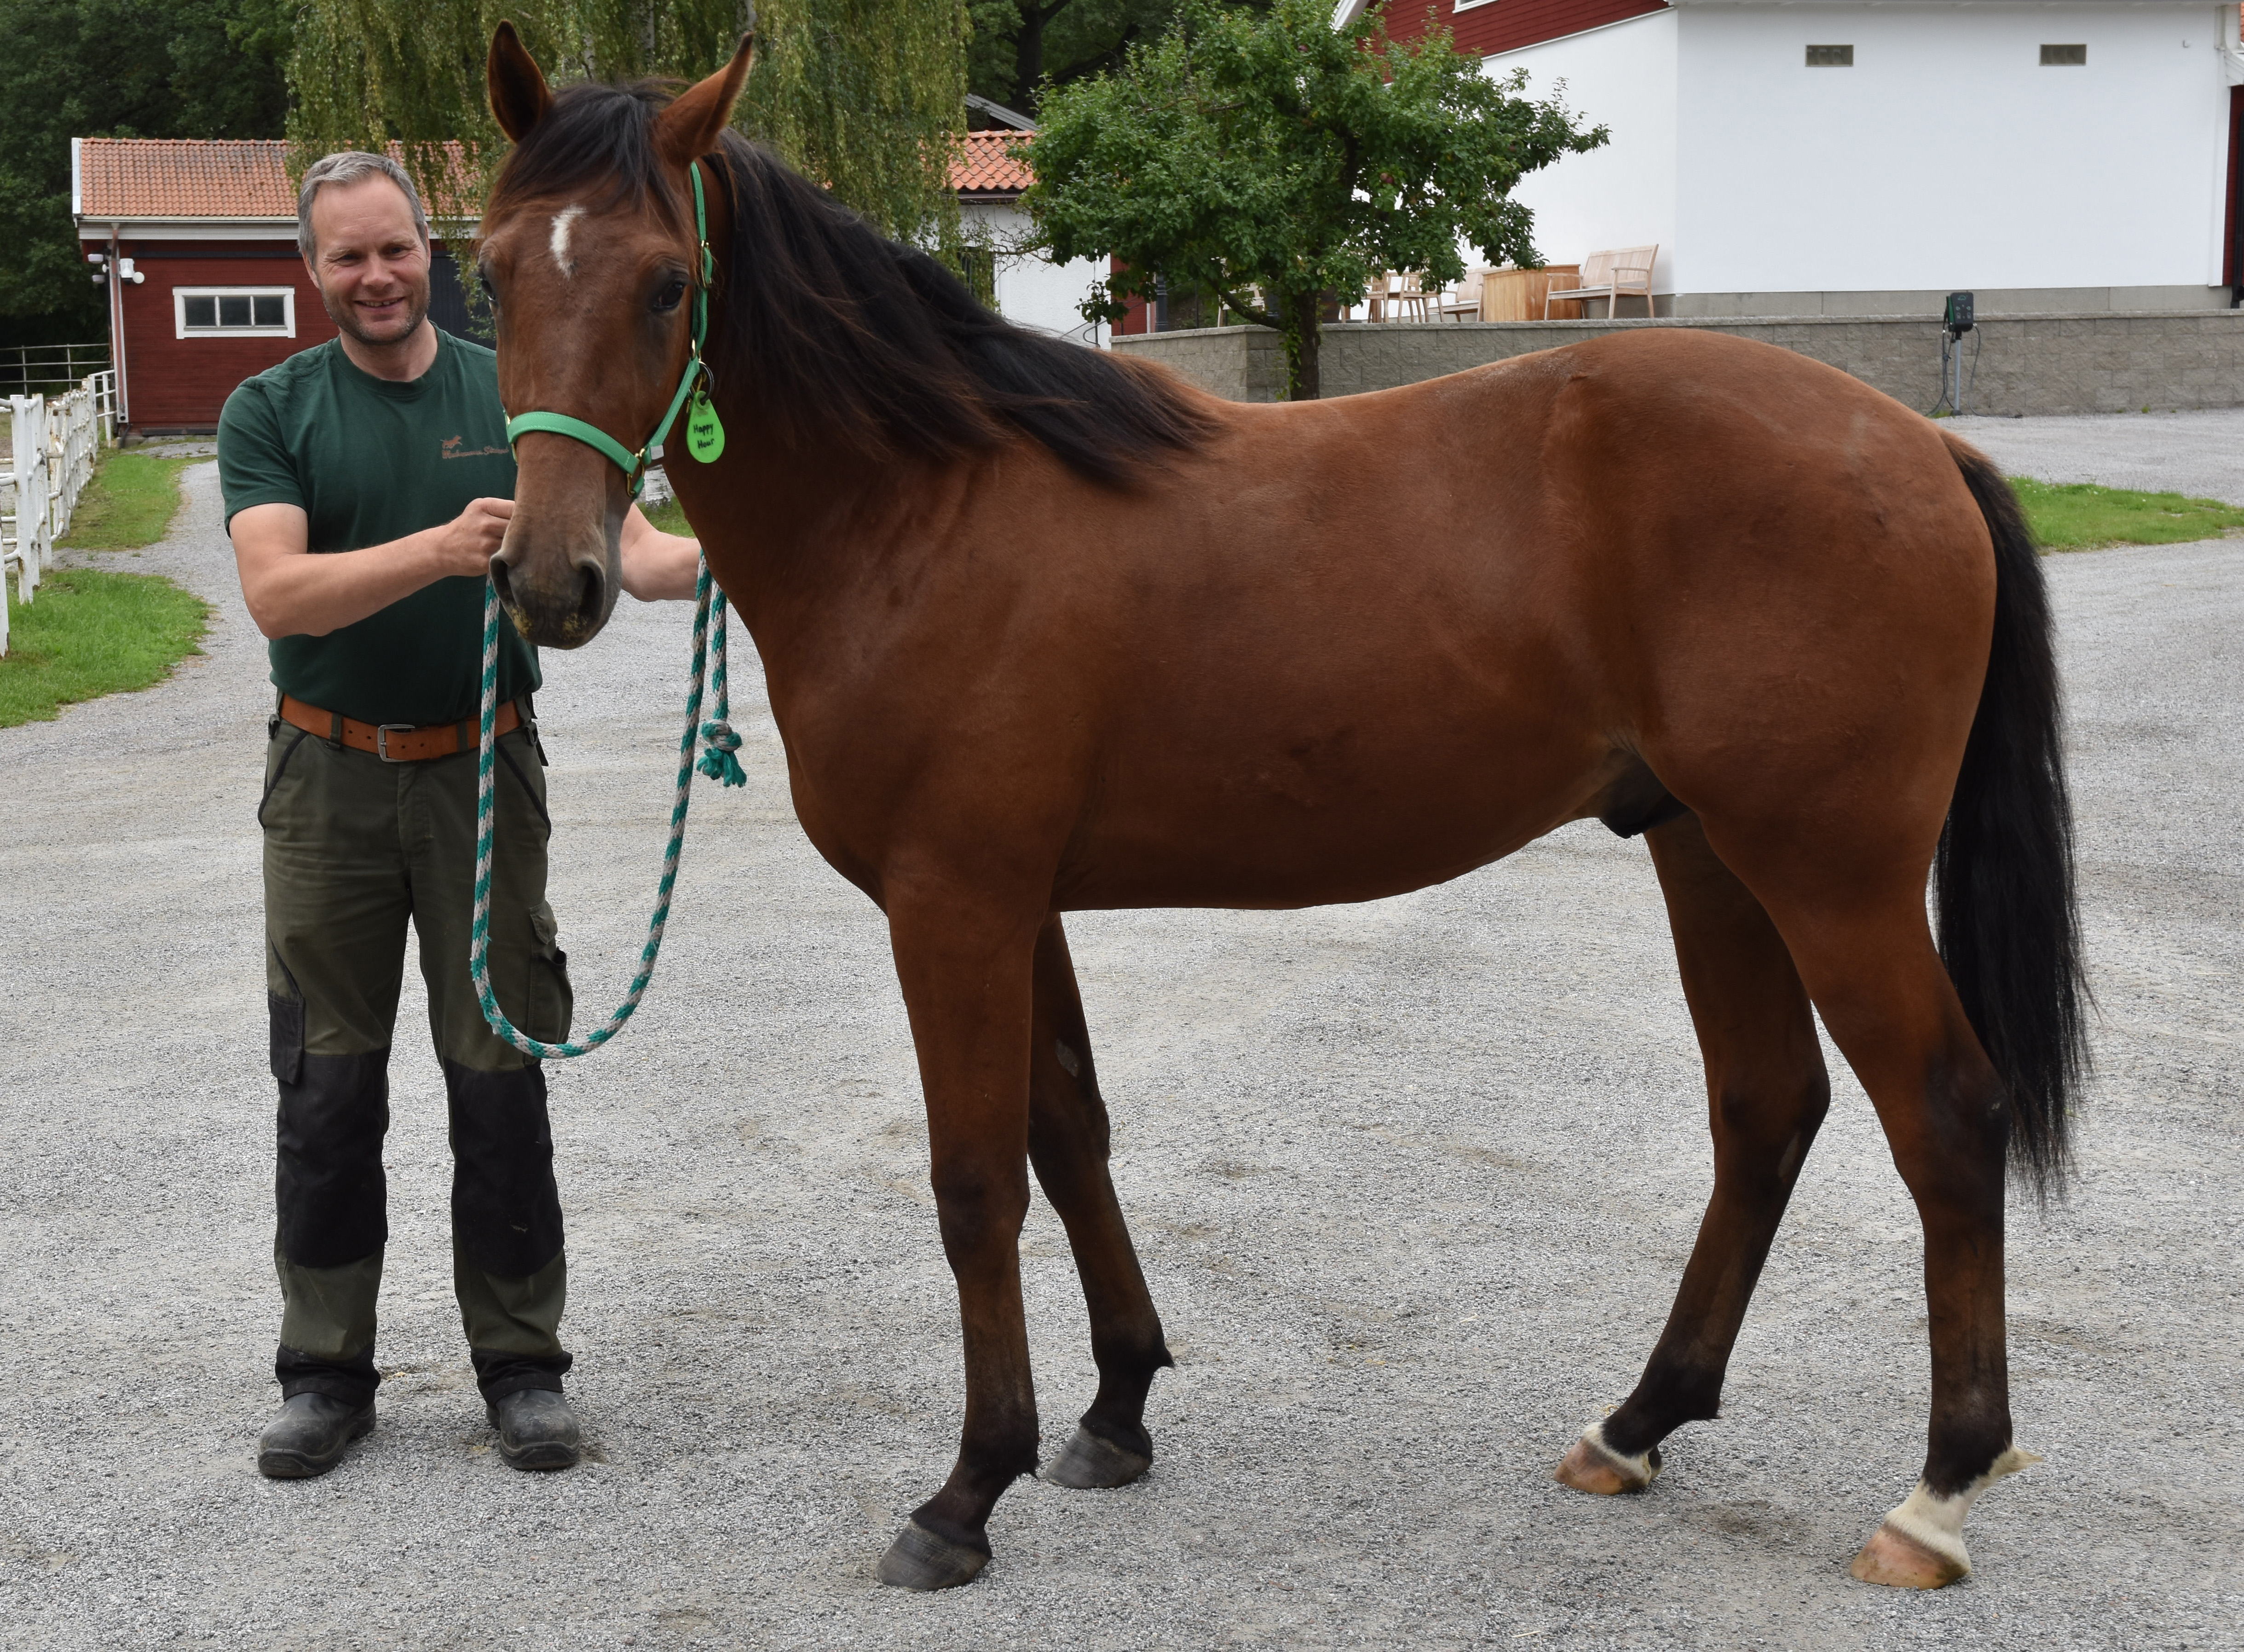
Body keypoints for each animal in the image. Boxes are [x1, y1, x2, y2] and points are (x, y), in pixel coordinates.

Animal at [473, 26, 2082, 1598]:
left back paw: (1935, 1491)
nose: (551, 579)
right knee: (1764, 1108)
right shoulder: (1018, 903)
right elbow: (1069, 1131)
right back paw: (1634, 1424)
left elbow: (975, 1179)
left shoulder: (952, 905)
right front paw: (1115, 1409)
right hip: (1708, 853)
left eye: (665, 280)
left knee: (1944, 1116)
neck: (923, 509)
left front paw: (966, 1489)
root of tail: (1919, 448)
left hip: (1829, 877)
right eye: (488, 275)